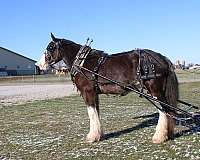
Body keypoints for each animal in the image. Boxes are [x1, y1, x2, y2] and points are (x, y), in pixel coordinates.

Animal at [40, 33, 178, 144]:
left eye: (50, 47)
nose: (40, 64)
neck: (82, 63)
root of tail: (162, 58)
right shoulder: (94, 93)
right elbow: (96, 112)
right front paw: (99, 134)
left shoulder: (87, 92)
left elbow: (91, 113)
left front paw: (92, 137)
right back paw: (168, 133)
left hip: (155, 90)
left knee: (164, 110)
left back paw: (159, 137)